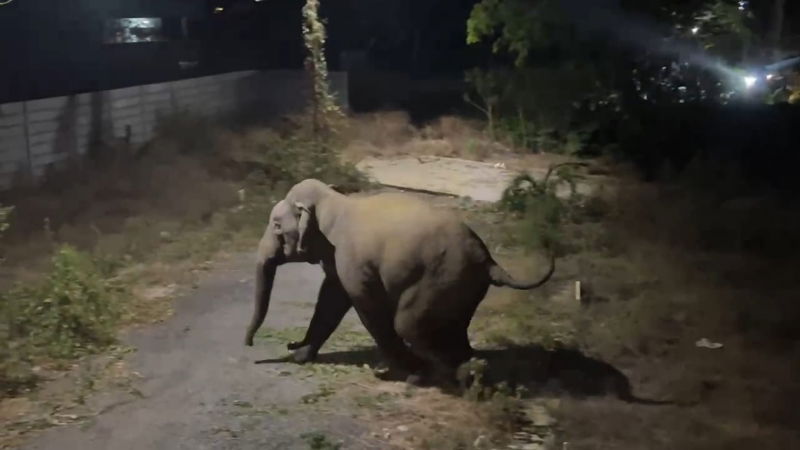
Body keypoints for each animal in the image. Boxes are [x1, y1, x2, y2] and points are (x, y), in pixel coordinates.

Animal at [245, 178, 556, 384]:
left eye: (276, 226)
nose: (249, 346)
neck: (332, 201)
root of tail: (489, 261)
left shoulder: (353, 262)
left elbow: (366, 306)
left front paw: (394, 372)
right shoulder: (337, 262)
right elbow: (331, 299)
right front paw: (301, 356)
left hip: (439, 280)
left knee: (408, 324)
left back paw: (435, 374)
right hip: (463, 290)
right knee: (454, 328)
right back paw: (472, 369)